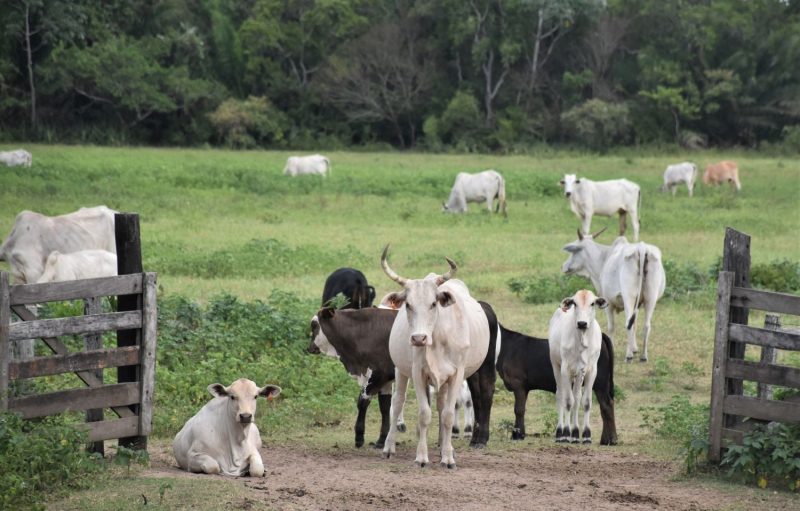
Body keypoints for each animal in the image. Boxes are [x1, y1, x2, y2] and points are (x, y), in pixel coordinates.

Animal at [380, 246, 490, 470]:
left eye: (433, 304)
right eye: (407, 305)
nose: (418, 338)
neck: (438, 338)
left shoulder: (456, 374)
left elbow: (447, 415)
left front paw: (447, 457)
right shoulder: (418, 373)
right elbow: (424, 414)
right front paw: (421, 457)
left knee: (441, 404)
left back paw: (442, 446)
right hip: (400, 370)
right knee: (398, 402)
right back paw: (389, 447)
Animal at [548, 292, 608, 444]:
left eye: (592, 303)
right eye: (574, 303)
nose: (582, 323)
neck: (582, 340)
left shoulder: (591, 371)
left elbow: (585, 402)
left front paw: (586, 435)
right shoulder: (565, 370)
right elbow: (568, 402)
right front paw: (565, 433)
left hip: (579, 374)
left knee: (576, 396)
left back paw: (575, 433)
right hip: (556, 365)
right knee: (561, 395)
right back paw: (560, 432)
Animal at [560, 228, 664, 364]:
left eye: (574, 252)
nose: (563, 266)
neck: (605, 257)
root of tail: (641, 247)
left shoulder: (608, 303)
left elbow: (611, 327)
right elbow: (635, 324)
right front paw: (634, 349)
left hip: (629, 297)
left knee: (628, 323)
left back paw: (628, 356)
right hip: (650, 299)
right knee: (646, 325)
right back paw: (643, 356)